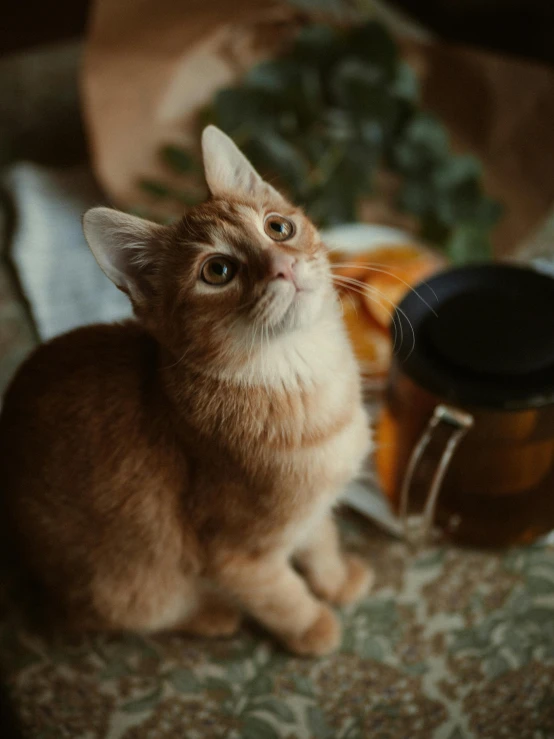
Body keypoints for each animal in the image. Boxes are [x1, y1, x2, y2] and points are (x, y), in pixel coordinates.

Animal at [1, 127, 370, 660]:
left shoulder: (314, 508)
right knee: (120, 615)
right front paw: (313, 627)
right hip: (130, 585)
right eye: (218, 271)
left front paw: (336, 582)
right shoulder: (234, 556)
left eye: (278, 228)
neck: (303, 378)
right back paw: (211, 615)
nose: (283, 264)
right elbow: (280, 593)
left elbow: (321, 540)